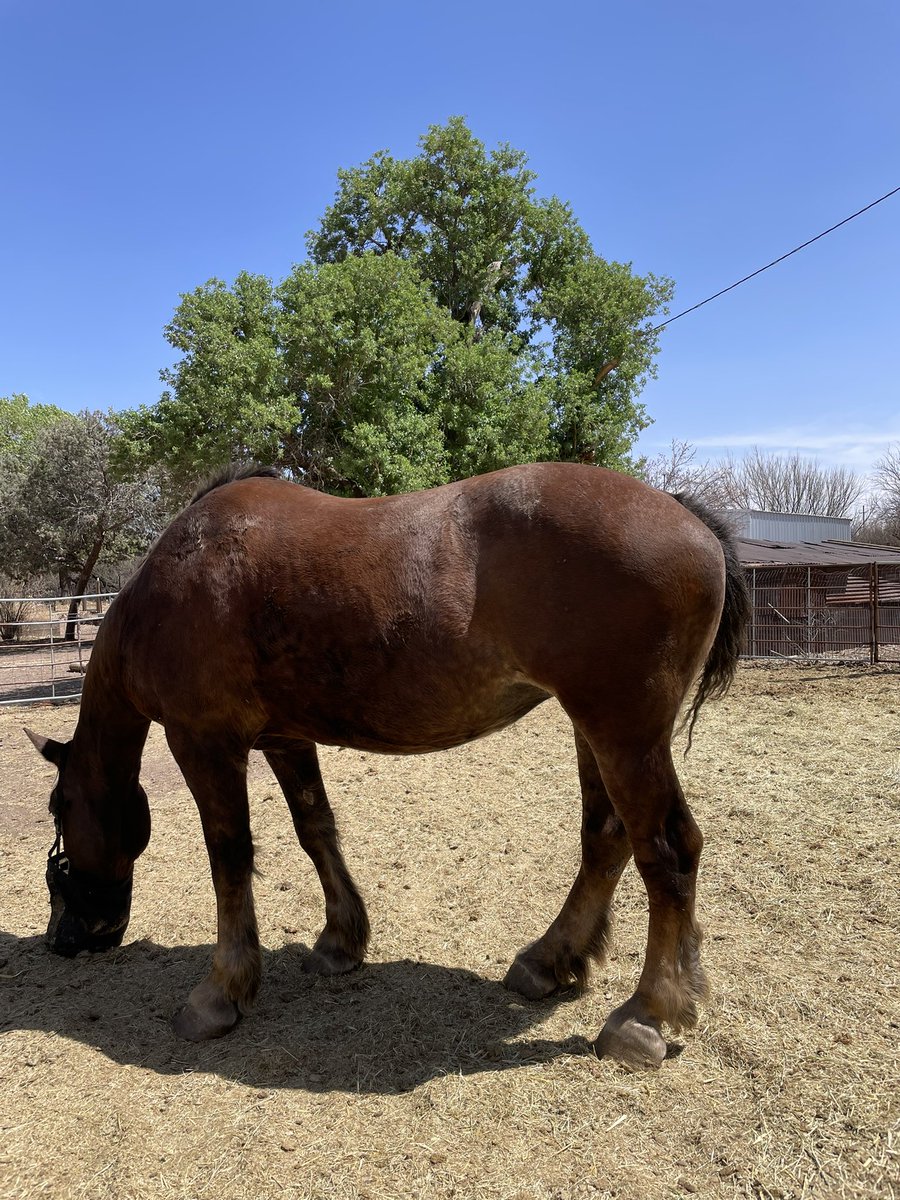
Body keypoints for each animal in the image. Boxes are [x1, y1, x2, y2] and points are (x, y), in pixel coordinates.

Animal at [26, 461, 749, 1068]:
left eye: (60, 811)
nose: (65, 937)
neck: (180, 576)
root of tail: (691, 522)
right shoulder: (286, 739)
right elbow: (315, 829)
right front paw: (340, 941)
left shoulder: (203, 741)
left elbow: (229, 857)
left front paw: (220, 992)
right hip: (592, 730)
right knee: (606, 839)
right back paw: (550, 961)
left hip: (623, 732)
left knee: (668, 851)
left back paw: (645, 1014)